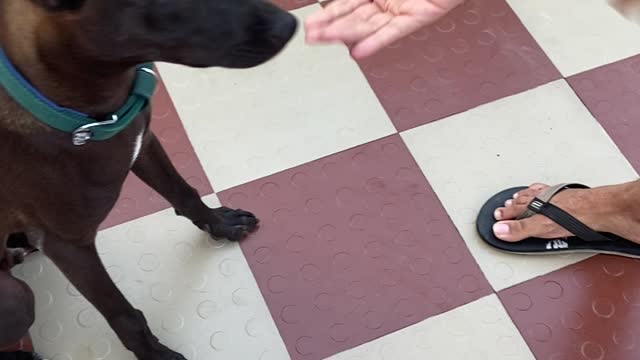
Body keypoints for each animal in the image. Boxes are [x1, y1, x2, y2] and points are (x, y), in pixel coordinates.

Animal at [0, 0, 298, 358]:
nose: (288, 26)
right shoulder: (69, 245)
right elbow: (123, 314)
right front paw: (156, 354)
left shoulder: (143, 143)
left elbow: (184, 193)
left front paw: (220, 223)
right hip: (16, 300)